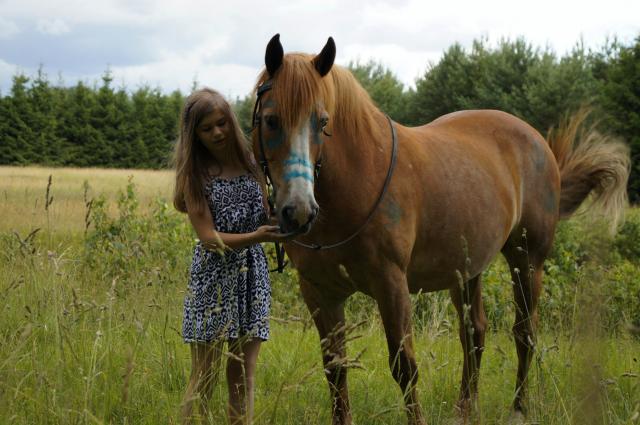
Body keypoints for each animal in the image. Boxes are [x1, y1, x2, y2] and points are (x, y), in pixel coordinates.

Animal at [250, 34, 632, 422]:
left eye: (323, 120)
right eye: (270, 120)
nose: (298, 211)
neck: (356, 181)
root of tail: (541, 145)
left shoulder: (391, 283)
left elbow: (404, 366)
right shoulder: (319, 291)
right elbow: (335, 367)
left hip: (527, 261)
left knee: (524, 333)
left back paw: (519, 409)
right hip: (467, 269)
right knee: (474, 332)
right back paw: (465, 409)